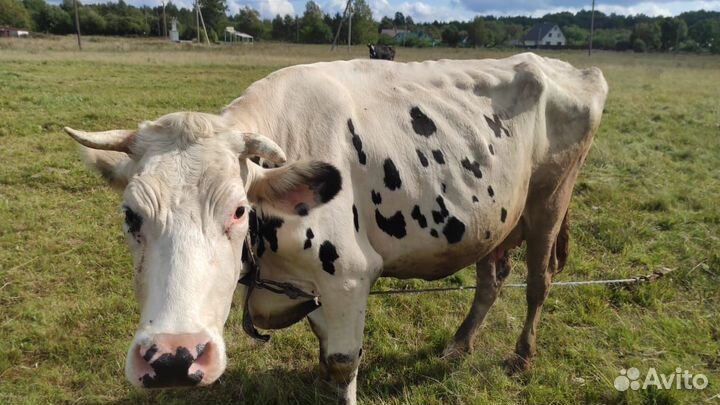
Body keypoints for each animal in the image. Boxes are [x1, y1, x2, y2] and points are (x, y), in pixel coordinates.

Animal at [63, 53, 608, 405]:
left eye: (238, 211)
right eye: (131, 215)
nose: (174, 359)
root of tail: (572, 69)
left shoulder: (349, 275)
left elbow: (345, 359)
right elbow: (326, 352)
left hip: (551, 199)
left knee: (539, 282)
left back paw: (521, 356)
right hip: (495, 218)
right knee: (491, 279)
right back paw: (459, 344)